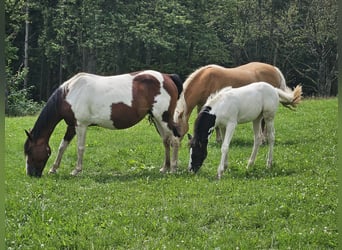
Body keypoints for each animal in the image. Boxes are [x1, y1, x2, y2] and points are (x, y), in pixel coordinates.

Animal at [23, 70, 184, 178]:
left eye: (30, 151)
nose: (31, 174)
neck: (70, 93)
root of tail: (167, 77)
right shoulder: (72, 126)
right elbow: (62, 146)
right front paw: (53, 169)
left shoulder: (81, 125)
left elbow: (80, 148)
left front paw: (76, 170)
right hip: (157, 119)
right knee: (166, 141)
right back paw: (165, 168)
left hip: (163, 118)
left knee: (174, 140)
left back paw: (173, 168)